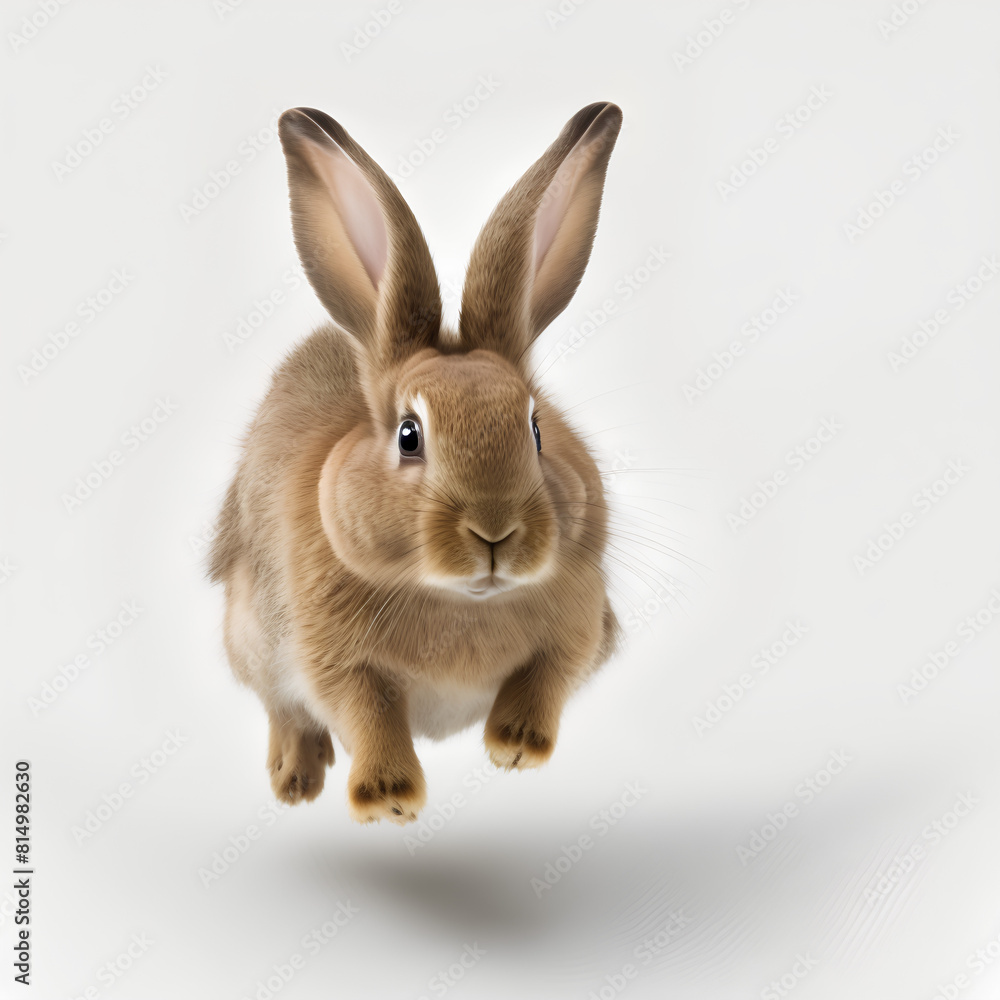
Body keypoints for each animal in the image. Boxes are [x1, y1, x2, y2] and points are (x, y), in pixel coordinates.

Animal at [209, 102, 623, 825]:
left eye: (536, 428)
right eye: (409, 435)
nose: (495, 532)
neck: (462, 600)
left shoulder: (580, 622)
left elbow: (548, 675)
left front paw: (515, 747)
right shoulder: (333, 656)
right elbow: (365, 711)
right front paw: (388, 799)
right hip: (250, 631)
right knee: (283, 709)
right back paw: (296, 780)